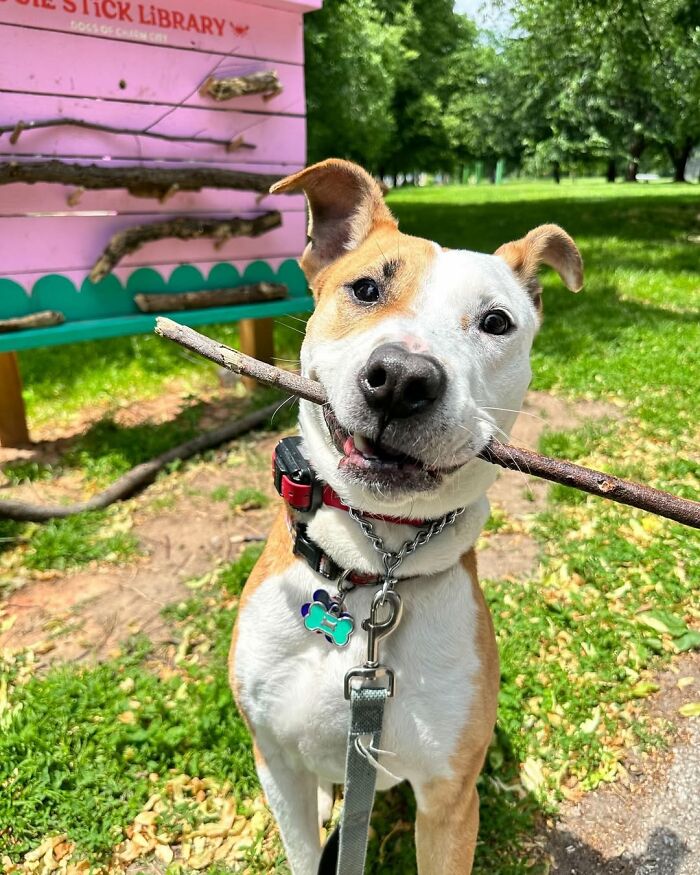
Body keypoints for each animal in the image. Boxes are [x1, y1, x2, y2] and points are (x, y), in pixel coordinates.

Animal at [228, 159, 580, 875]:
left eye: (496, 322)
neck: (372, 568)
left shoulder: (448, 802)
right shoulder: (276, 766)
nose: (401, 378)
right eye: (365, 288)